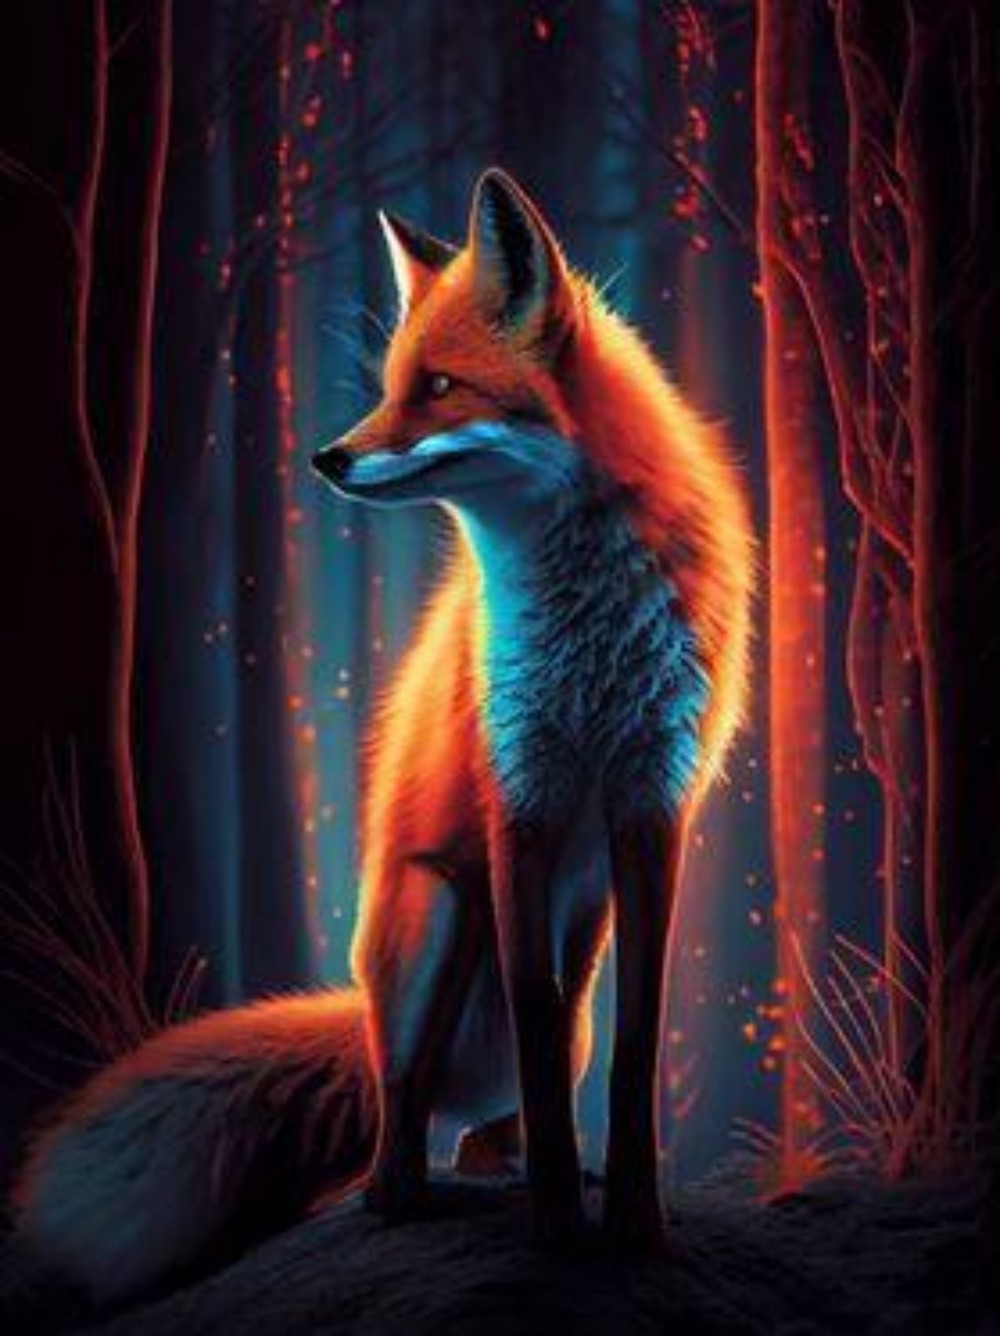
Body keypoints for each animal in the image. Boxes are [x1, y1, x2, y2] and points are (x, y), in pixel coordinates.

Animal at [12, 169, 753, 1304]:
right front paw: (554, 1231)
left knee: (505, 1100)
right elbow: (532, 1019)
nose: (327, 456)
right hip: (434, 924)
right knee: (401, 1104)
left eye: (441, 387)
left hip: (561, 946)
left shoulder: (652, 805)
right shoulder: (515, 803)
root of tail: (356, 999)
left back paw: (507, 1167)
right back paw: (400, 1194)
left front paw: (631, 1220)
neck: (582, 630)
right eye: (393, 384)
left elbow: (634, 1045)